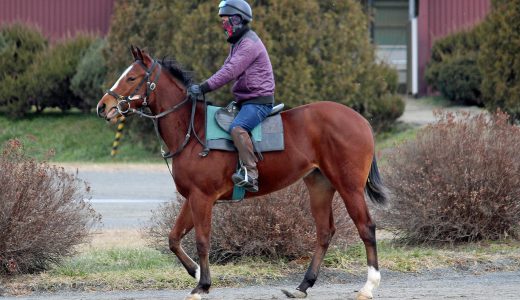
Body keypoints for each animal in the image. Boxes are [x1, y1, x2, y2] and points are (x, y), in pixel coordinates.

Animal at [96, 45, 386, 298]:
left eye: (131, 77)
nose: (103, 106)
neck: (193, 130)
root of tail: (360, 120)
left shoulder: (202, 198)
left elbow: (202, 240)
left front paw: (202, 285)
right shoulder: (192, 198)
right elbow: (174, 238)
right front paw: (196, 272)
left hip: (349, 187)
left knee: (366, 227)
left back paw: (368, 286)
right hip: (320, 185)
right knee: (324, 232)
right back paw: (303, 285)